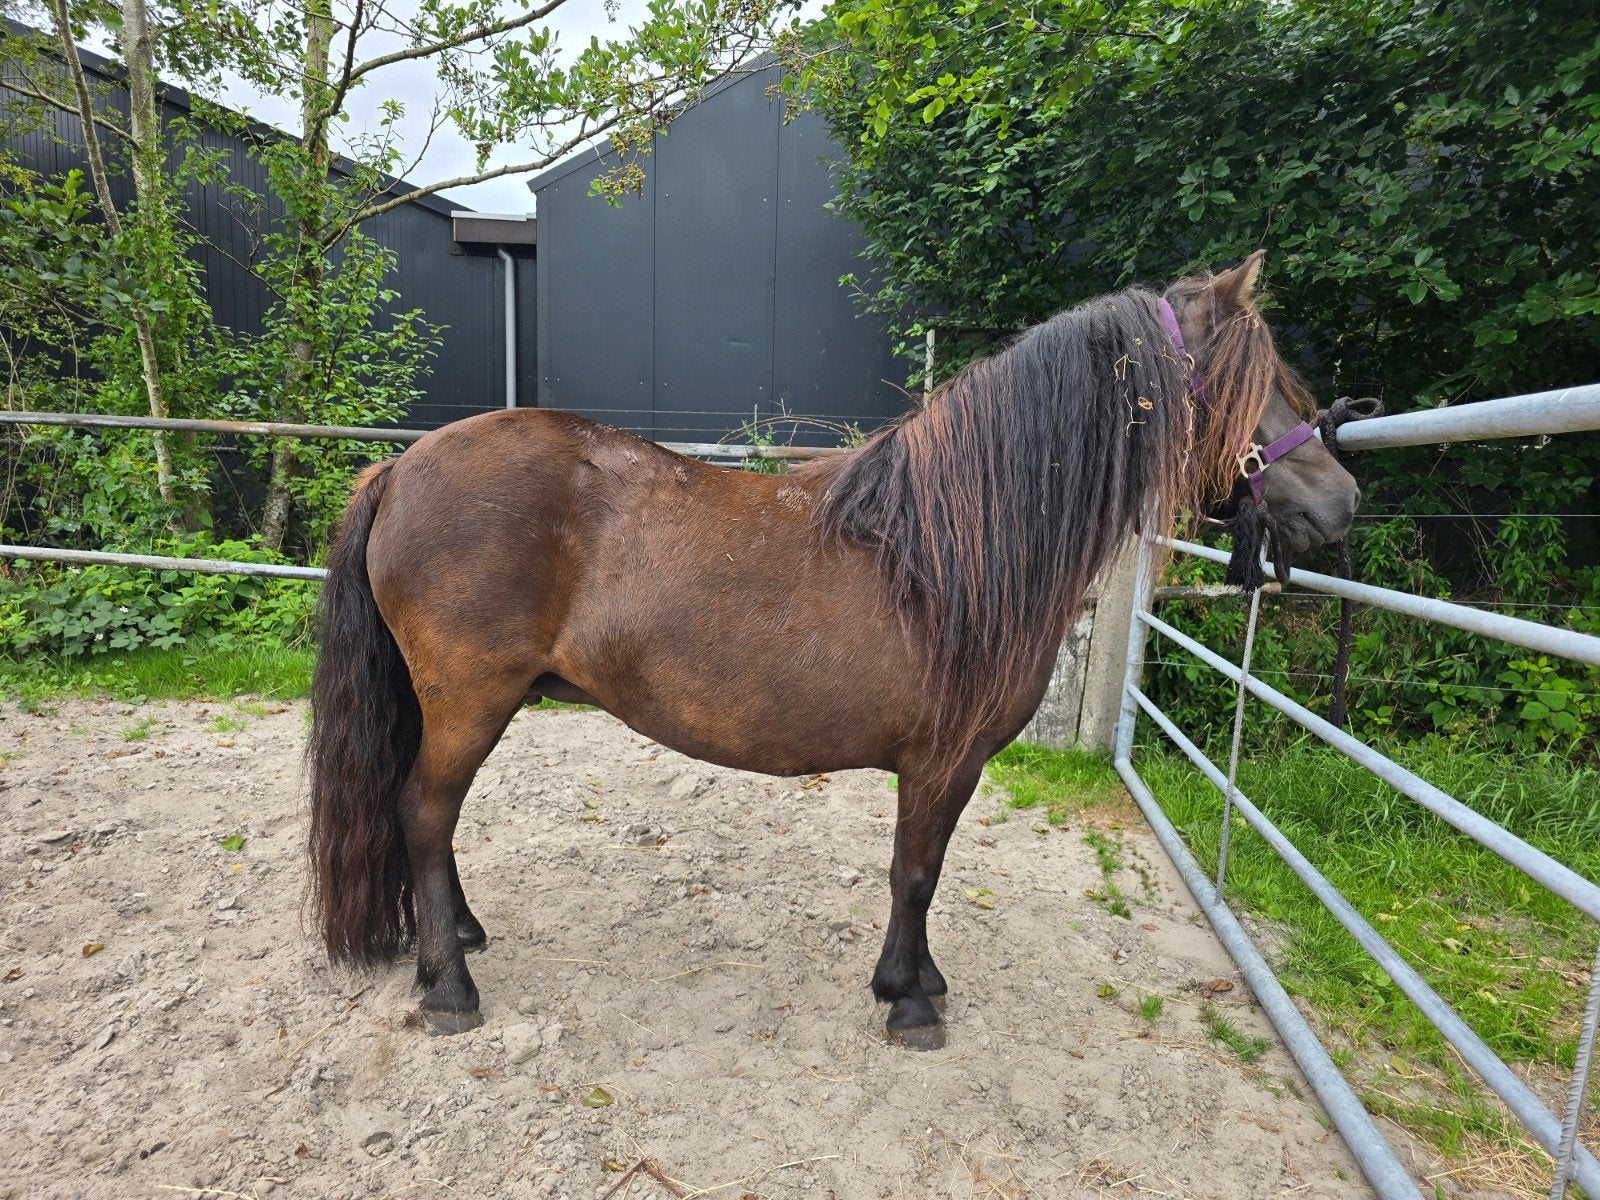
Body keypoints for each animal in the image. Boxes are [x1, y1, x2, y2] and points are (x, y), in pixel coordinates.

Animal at [306, 251, 1360, 1043]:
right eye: (1256, 386)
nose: (1343, 501)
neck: (953, 544)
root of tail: (402, 466)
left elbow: (923, 874)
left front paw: (920, 983)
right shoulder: (943, 762)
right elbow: (916, 873)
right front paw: (908, 1000)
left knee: (430, 821)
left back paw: (459, 937)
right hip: (469, 699)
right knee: (423, 813)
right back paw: (449, 986)